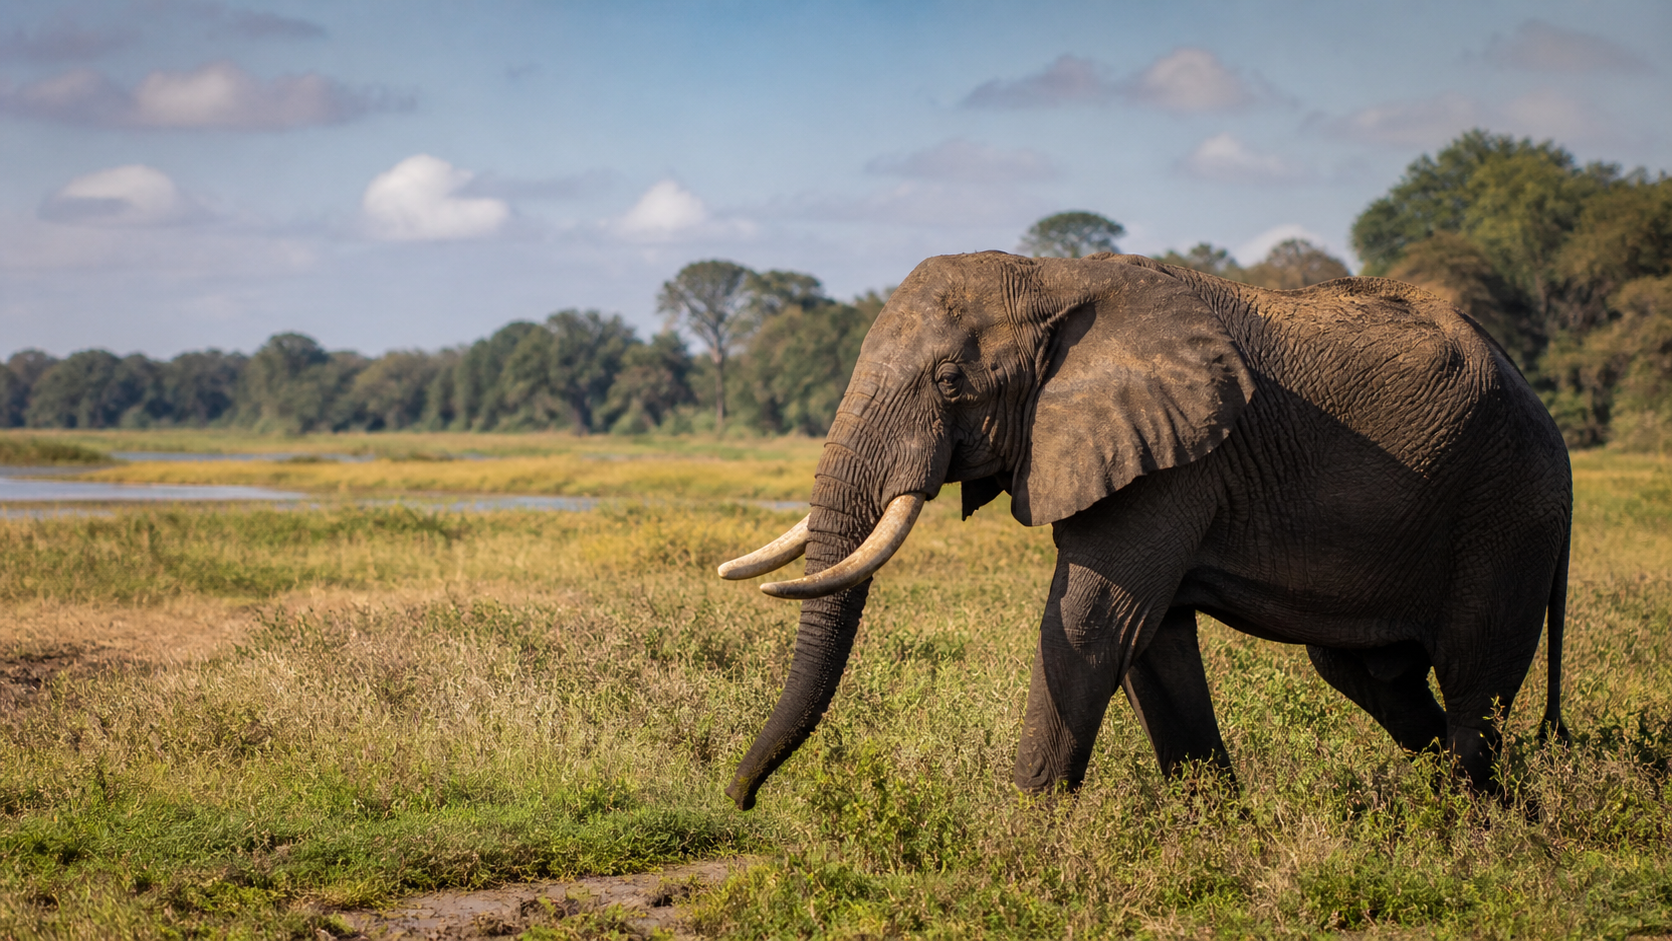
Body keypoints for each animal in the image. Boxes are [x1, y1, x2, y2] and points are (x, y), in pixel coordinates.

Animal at [716, 250, 1571, 811]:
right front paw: (1217, 831)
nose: (741, 799)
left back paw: (1470, 826)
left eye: (951, 382)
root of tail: (1543, 407)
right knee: (1373, 677)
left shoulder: (1178, 461)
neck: (1053, 278)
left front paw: (1021, 838)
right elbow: (1151, 641)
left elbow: (1091, 624)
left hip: (1509, 512)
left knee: (1473, 685)